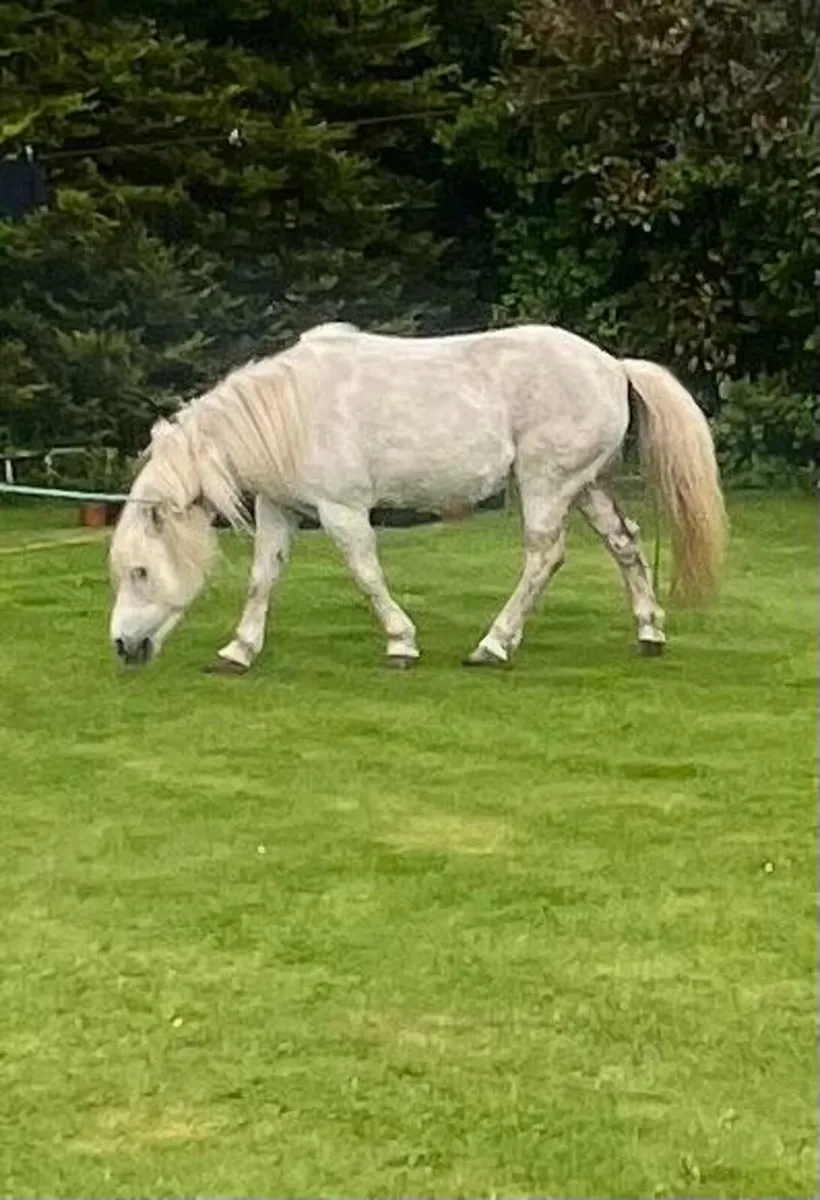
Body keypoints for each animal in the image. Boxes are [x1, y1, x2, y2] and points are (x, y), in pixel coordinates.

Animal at [108, 321, 726, 671]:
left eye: (141, 571)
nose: (122, 646)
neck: (292, 411)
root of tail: (614, 365)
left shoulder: (342, 512)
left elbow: (366, 575)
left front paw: (400, 643)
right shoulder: (279, 509)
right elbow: (264, 578)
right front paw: (239, 651)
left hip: (546, 484)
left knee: (544, 557)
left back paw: (493, 645)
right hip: (588, 487)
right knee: (626, 545)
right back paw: (649, 633)